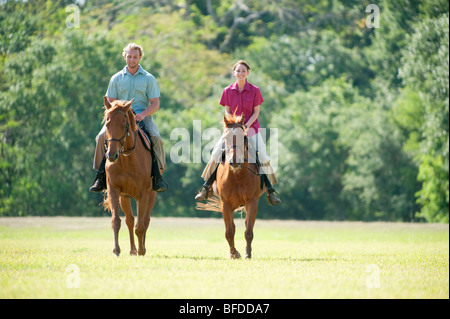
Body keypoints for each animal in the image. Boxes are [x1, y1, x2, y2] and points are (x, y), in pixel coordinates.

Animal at [102, 97, 156, 258]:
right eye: (107, 123)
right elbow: (116, 221)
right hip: (125, 197)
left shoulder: (143, 193)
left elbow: (141, 225)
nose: (111, 155)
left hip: (151, 195)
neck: (126, 159)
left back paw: (141, 248)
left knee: (145, 220)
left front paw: (142, 250)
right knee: (130, 220)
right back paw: (132, 250)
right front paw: (116, 250)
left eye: (124, 124)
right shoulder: (114, 190)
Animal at [197, 114, 264, 258]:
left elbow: (248, 231)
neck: (237, 176)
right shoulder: (225, 204)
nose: (234, 160)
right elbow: (229, 232)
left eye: (244, 137)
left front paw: (247, 254)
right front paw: (234, 253)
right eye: (226, 137)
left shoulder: (252, 202)